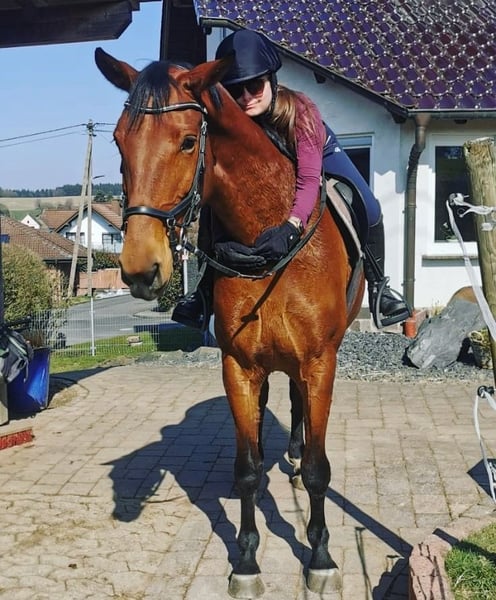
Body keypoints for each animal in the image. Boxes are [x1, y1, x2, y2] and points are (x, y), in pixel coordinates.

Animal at [95, 47, 364, 598]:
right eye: (118, 140)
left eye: (187, 140)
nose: (139, 268)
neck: (269, 245)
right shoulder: (238, 367)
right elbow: (246, 471)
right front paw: (245, 560)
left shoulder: (320, 363)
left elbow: (318, 471)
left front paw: (320, 555)